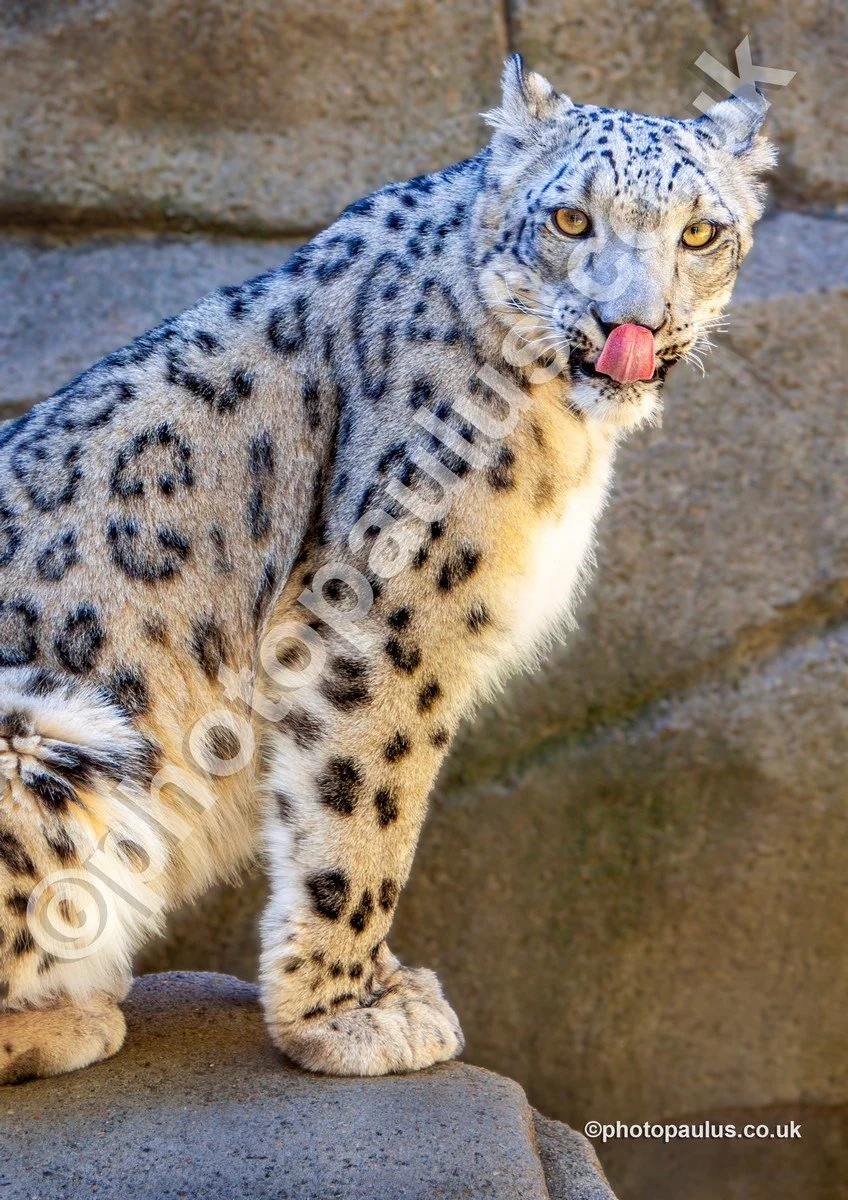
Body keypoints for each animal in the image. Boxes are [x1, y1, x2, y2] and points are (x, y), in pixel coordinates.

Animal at [0, 56, 774, 1082]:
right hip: (55, 728)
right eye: (572, 220)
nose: (632, 324)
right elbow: (366, 808)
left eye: (699, 233)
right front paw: (350, 1014)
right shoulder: (385, 616)